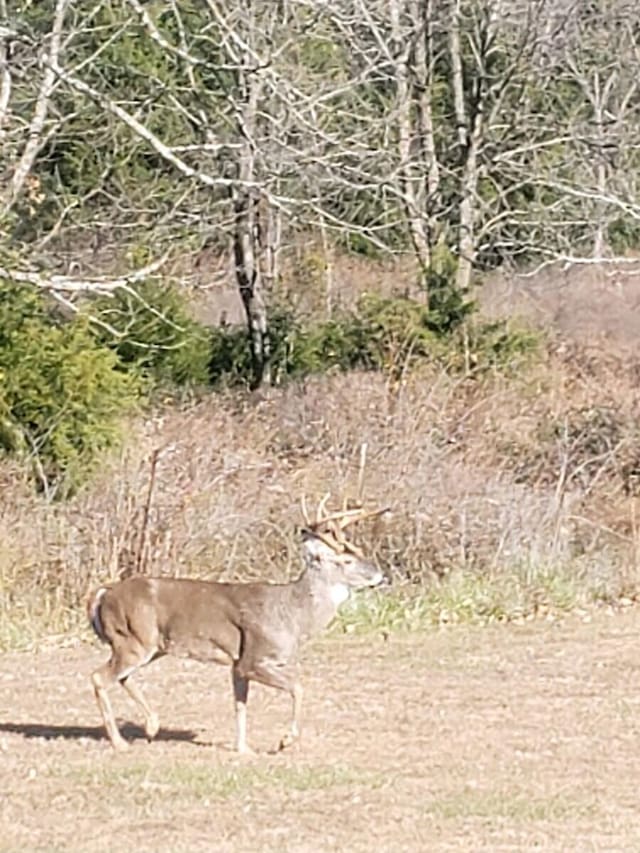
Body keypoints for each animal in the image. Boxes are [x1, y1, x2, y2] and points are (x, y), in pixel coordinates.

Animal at [85, 500, 384, 752]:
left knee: (121, 676)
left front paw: (243, 748)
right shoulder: (253, 658)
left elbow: (240, 705)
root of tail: (103, 594)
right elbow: (298, 687)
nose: (381, 576)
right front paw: (285, 741)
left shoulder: (237, 664)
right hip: (132, 639)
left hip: (150, 646)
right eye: (346, 560)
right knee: (99, 676)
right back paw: (120, 742)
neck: (293, 616)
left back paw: (151, 726)